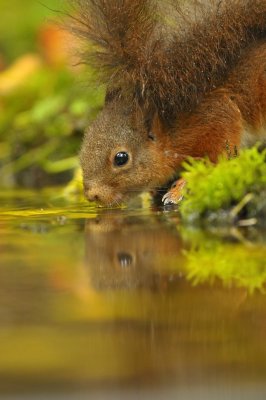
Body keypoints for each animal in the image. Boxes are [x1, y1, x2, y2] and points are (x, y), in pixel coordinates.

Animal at [68, 0, 266, 206]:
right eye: (86, 140)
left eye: (121, 158)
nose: (92, 195)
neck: (173, 132)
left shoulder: (217, 119)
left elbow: (217, 158)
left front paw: (180, 188)